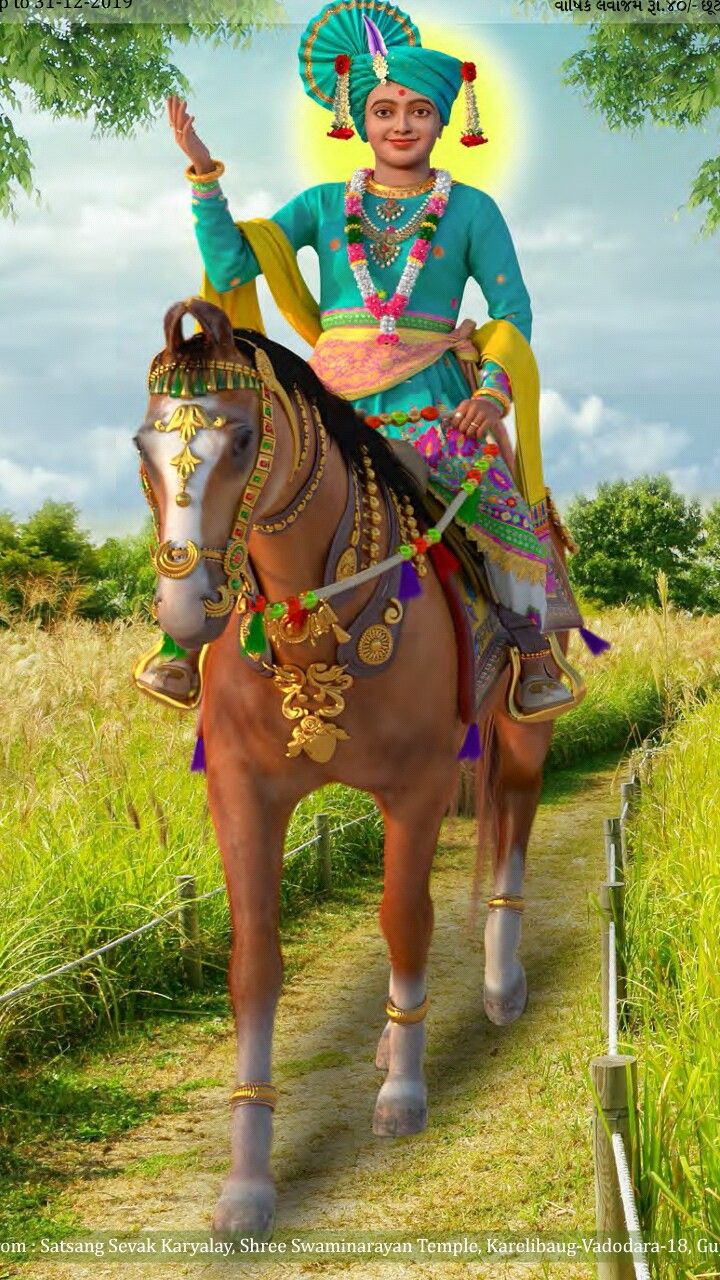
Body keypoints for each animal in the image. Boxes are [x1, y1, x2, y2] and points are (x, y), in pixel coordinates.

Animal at [135, 297, 572, 1238]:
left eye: (239, 440)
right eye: (144, 446)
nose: (187, 610)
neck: (312, 629)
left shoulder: (418, 784)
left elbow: (406, 920)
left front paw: (403, 1096)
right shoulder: (243, 795)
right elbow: (255, 963)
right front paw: (246, 1185)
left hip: (521, 732)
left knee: (512, 832)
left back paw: (499, 986)